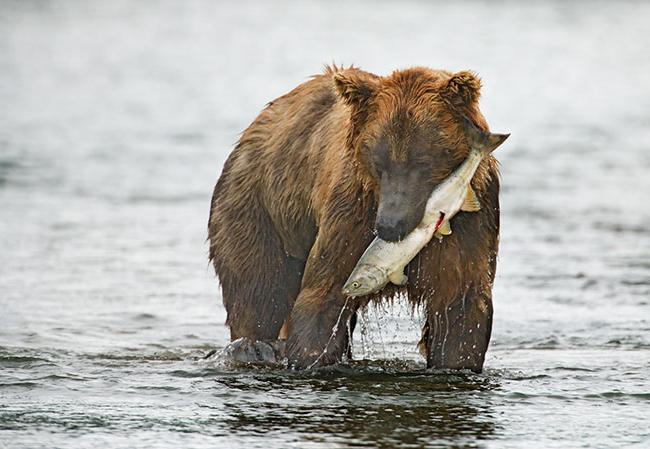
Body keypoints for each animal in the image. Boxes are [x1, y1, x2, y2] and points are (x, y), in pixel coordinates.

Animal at [206, 65, 502, 370]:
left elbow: (459, 309)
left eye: (422, 161)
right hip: (256, 207)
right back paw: (254, 345)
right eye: (379, 161)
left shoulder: (470, 226)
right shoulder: (352, 214)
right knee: (258, 292)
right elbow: (322, 296)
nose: (389, 225)